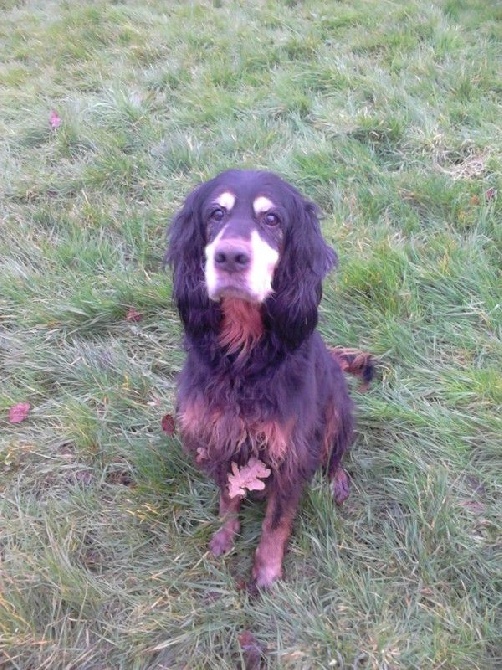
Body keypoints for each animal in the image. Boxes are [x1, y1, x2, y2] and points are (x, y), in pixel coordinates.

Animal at [166, 171, 372, 592]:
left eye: (272, 219)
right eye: (215, 213)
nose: (229, 256)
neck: (244, 356)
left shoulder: (291, 450)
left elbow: (276, 520)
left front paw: (266, 573)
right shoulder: (217, 434)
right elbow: (228, 496)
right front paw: (225, 536)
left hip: (338, 410)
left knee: (336, 454)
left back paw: (338, 480)